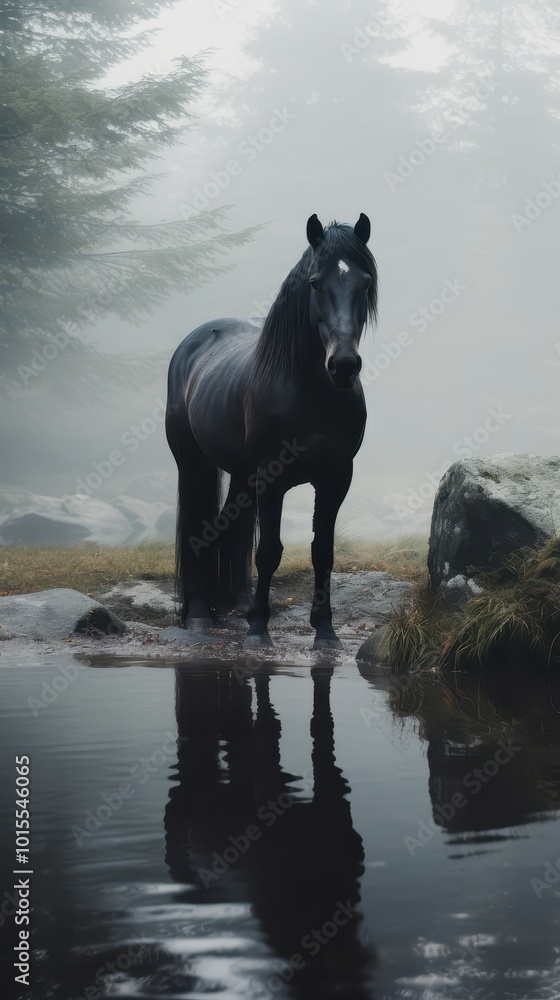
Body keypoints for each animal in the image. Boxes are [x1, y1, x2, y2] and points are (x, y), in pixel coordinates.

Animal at [165, 213, 378, 649]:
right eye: (315, 283)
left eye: (365, 282)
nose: (344, 365)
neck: (311, 393)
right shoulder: (271, 477)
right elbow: (268, 552)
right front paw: (259, 631)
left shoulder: (336, 477)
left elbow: (322, 552)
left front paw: (325, 632)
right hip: (195, 464)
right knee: (199, 530)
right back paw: (200, 615)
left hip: (243, 475)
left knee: (231, 530)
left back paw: (235, 605)